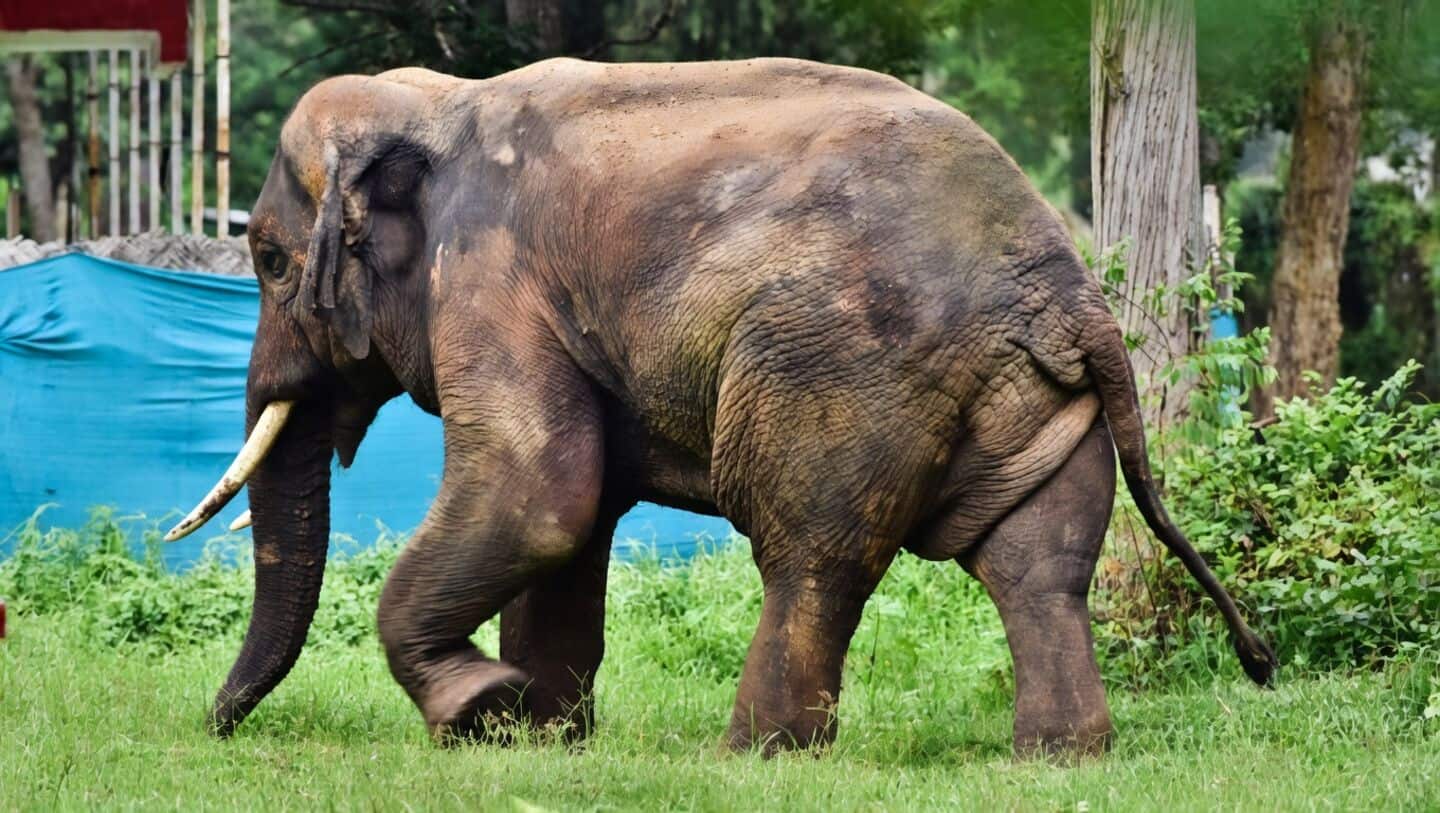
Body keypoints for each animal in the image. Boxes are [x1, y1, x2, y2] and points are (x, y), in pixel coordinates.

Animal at [168, 57, 1275, 757]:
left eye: (266, 259)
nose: (214, 729)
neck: (440, 105)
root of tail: (1069, 284)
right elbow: (571, 520)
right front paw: (537, 737)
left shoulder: (492, 275)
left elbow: (537, 493)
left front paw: (480, 710)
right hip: (1033, 392)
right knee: (1039, 563)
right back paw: (1060, 755)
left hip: (845, 370)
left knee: (811, 555)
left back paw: (757, 753)